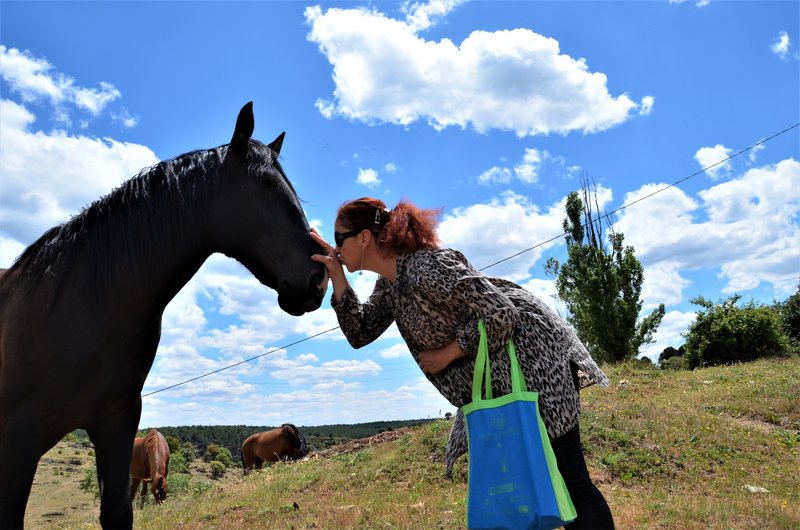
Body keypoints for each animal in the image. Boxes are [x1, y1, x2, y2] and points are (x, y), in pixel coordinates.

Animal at [0, 101, 328, 524]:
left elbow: (119, 511)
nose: (318, 279)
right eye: (266, 187)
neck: (78, 305)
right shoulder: (18, 438)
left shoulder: (115, 423)